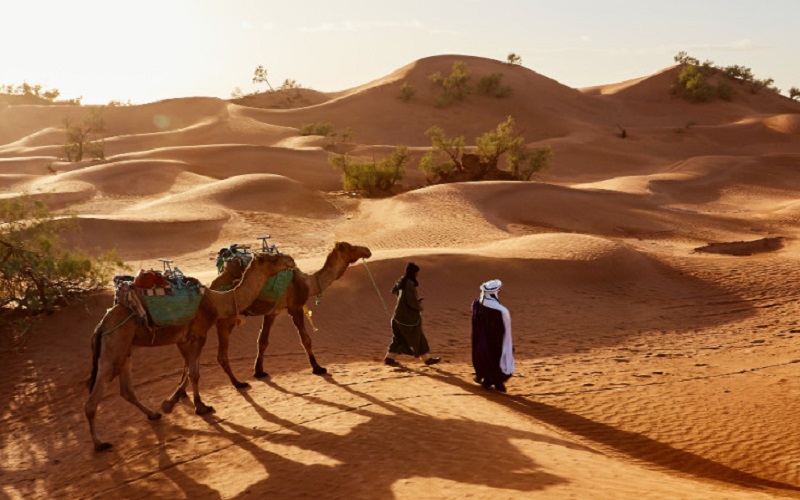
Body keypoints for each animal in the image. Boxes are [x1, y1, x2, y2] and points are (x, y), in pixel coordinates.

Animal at [85, 252, 296, 452]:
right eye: (271, 258)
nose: (291, 260)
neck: (216, 301)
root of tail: (101, 326)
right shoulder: (198, 335)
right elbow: (194, 372)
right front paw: (201, 406)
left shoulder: (184, 339)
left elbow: (187, 369)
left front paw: (172, 402)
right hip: (113, 347)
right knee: (93, 398)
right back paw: (99, 443)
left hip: (126, 349)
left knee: (127, 390)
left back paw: (153, 414)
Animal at [212, 239, 376, 386]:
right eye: (351, 247)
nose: (367, 250)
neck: (309, 283)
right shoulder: (295, 307)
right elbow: (306, 339)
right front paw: (318, 368)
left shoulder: (272, 312)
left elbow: (262, 341)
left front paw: (259, 371)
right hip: (226, 318)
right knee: (221, 354)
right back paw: (237, 383)